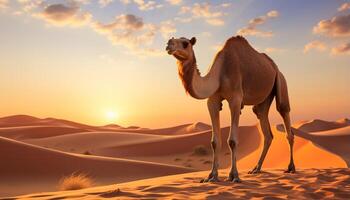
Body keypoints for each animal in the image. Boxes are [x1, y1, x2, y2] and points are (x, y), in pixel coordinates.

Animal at [165, 35, 294, 182]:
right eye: (172, 39)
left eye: (185, 43)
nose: (169, 44)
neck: (220, 73)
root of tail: (274, 67)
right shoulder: (213, 100)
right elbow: (214, 141)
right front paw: (211, 176)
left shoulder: (235, 99)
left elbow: (232, 141)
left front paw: (234, 176)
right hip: (264, 98)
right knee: (265, 125)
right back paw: (256, 169)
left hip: (281, 81)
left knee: (284, 113)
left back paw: (291, 168)